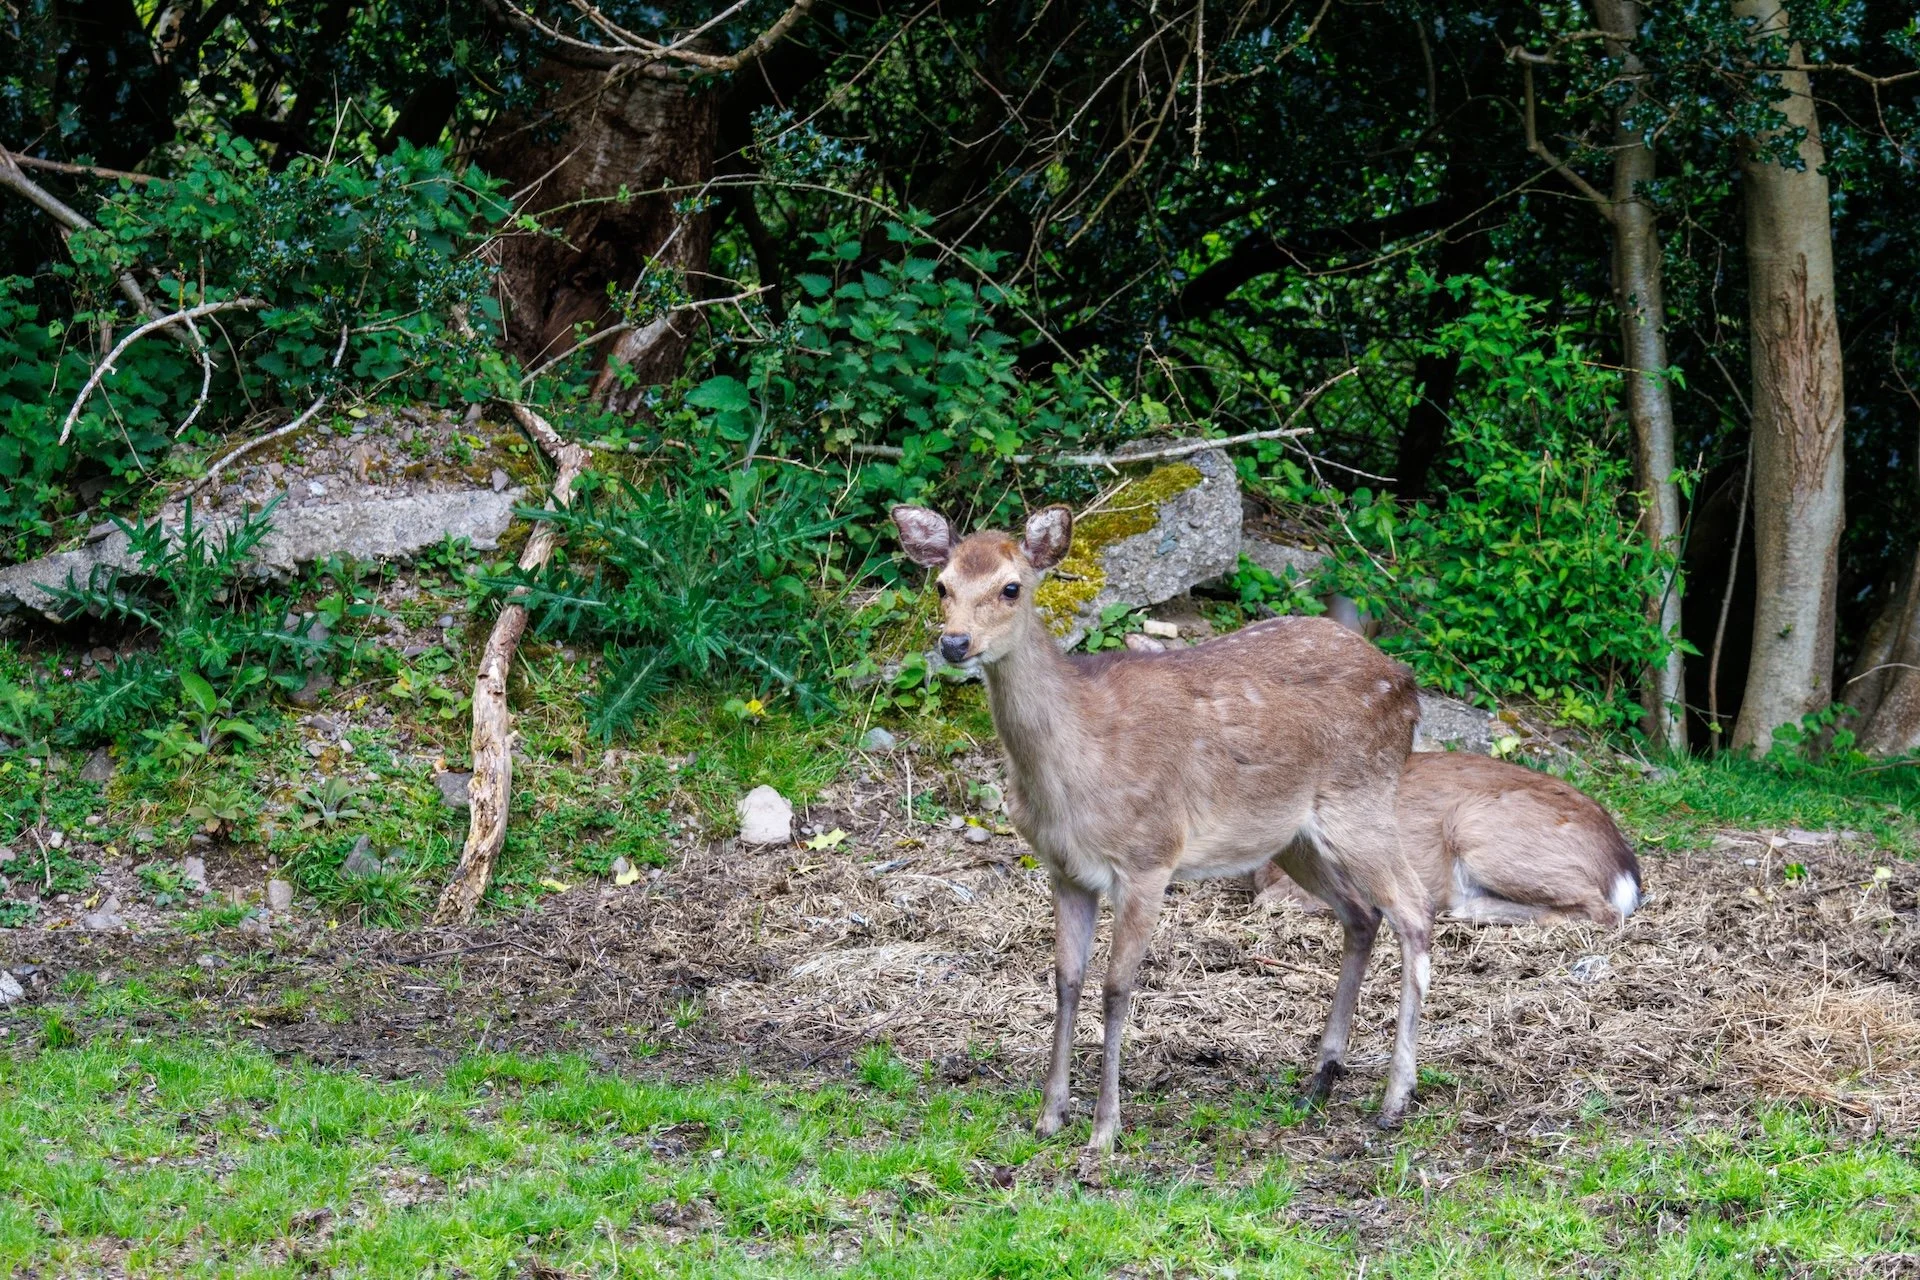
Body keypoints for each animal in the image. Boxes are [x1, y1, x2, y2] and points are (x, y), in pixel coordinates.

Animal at [891, 502, 1433, 1149]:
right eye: (942, 585)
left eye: (1011, 587)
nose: (954, 642)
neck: (1075, 768)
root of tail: (1408, 685)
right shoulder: (1064, 868)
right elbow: (1066, 979)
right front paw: (1050, 1115)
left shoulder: (1150, 856)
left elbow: (1116, 988)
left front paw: (1104, 1132)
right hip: (1293, 835)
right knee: (1362, 915)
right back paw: (1321, 1079)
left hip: (1363, 799)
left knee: (1415, 910)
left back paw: (1395, 1099)